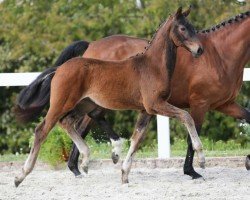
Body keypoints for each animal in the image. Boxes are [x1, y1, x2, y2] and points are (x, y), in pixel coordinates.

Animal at [14, 7, 204, 187]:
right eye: (183, 28)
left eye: (193, 28)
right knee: (42, 130)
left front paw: (124, 175)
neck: (153, 67)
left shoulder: (147, 110)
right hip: (61, 104)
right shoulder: (156, 104)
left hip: (84, 105)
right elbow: (187, 117)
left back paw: (85, 160)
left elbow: (136, 139)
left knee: (67, 122)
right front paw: (201, 159)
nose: (200, 49)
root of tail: (59, 70)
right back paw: (21, 176)